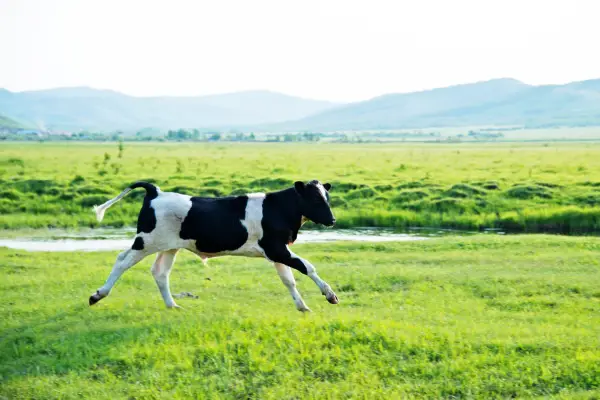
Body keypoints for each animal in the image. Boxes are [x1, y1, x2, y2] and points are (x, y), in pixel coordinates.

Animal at [91, 179, 340, 312]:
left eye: (327, 197)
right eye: (315, 198)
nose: (332, 220)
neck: (278, 209)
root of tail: (156, 191)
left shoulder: (276, 251)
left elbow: (288, 280)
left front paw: (302, 306)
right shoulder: (276, 248)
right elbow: (307, 267)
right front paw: (330, 295)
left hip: (168, 245)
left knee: (160, 272)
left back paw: (172, 305)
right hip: (145, 241)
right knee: (122, 261)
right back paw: (98, 295)